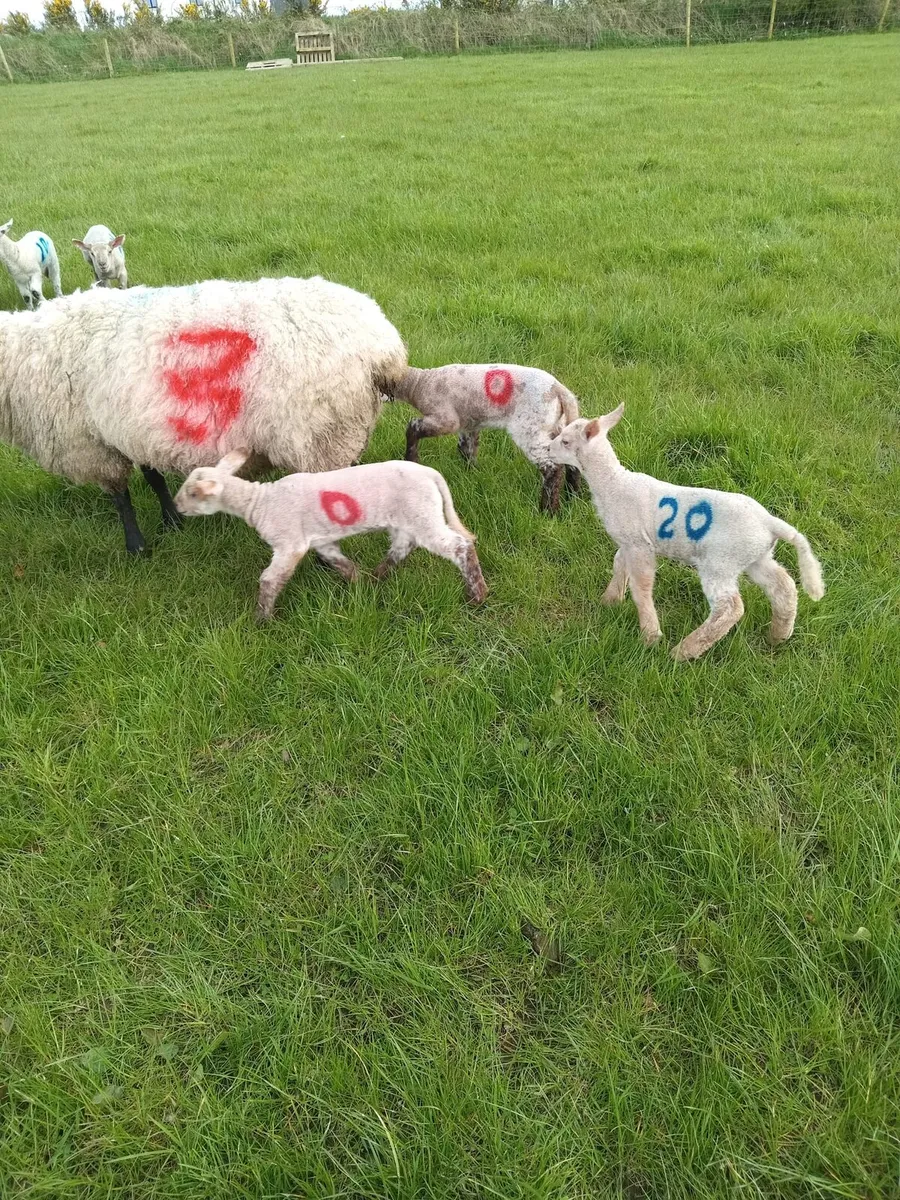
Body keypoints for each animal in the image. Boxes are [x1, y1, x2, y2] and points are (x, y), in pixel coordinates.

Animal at [0, 275, 407, 555]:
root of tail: (385, 347)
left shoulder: (91, 444)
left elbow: (120, 497)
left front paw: (136, 547)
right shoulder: (133, 430)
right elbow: (153, 478)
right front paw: (172, 522)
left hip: (319, 436)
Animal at [174, 450, 488, 619]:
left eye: (193, 493)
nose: (176, 506)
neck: (259, 502)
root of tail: (431, 474)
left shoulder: (289, 543)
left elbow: (270, 580)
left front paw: (262, 619)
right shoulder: (321, 540)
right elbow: (338, 561)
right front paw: (357, 584)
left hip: (422, 513)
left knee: (459, 546)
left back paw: (477, 595)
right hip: (409, 517)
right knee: (402, 546)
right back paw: (377, 578)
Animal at [386, 364, 583, 513]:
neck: (420, 383)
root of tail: (559, 390)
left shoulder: (447, 419)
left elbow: (413, 427)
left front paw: (411, 459)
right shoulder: (468, 423)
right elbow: (466, 448)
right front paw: (472, 472)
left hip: (530, 427)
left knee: (552, 468)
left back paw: (548, 510)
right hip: (558, 425)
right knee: (572, 462)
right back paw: (573, 497)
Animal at [546, 404, 825, 661]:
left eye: (566, 441)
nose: (547, 449)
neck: (612, 483)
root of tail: (769, 522)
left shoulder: (639, 544)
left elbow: (641, 586)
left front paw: (650, 635)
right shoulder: (629, 539)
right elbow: (618, 564)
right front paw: (610, 600)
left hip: (719, 562)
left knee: (730, 608)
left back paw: (683, 651)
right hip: (755, 557)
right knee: (784, 586)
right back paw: (778, 636)